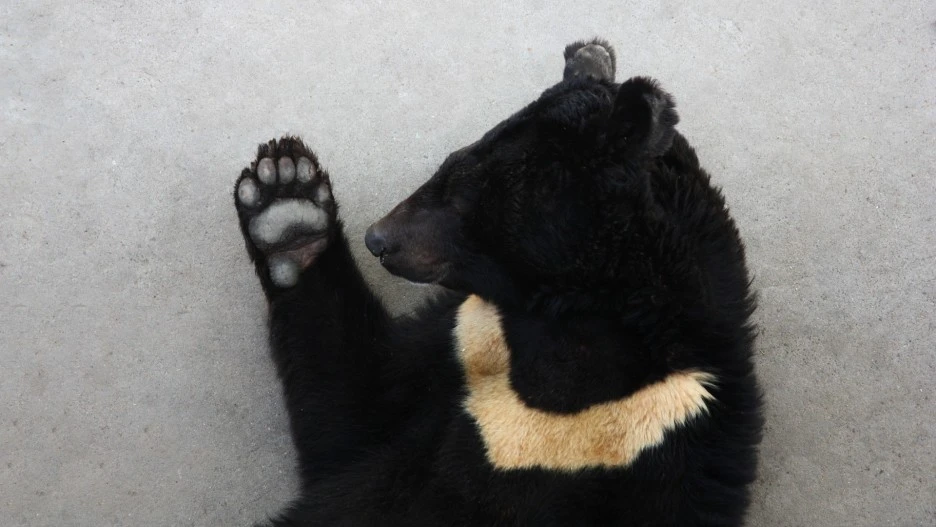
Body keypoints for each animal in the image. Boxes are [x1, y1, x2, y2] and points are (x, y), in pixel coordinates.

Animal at [233, 38, 762, 526]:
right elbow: (357, 405)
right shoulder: (471, 333)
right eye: (447, 162)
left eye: (462, 192)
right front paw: (285, 199)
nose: (378, 239)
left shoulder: (646, 432)